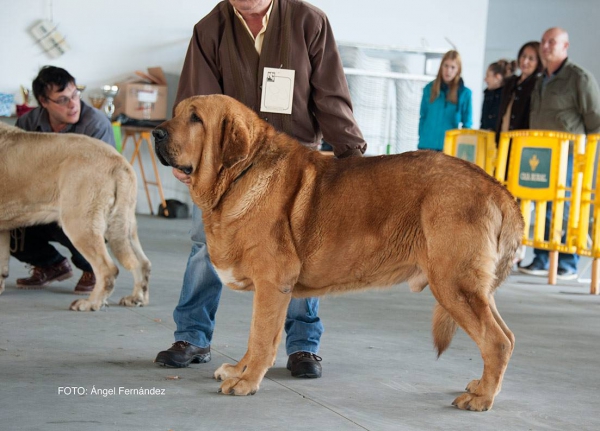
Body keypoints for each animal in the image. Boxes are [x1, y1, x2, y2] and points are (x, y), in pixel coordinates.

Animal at [0, 123, 150, 312]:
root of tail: (118, 160)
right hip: (123, 225)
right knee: (142, 263)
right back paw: (136, 298)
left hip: (79, 225)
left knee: (108, 269)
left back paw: (91, 303)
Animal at [155, 94, 524, 412]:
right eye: (177, 112)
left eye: (195, 118)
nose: (156, 132)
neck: (237, 175)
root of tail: (496, 187)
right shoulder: (269, 290)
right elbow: (255, 335)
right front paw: (238, 370)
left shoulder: (273, 283)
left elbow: (260, 337)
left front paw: (246, 381)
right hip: (472, 289)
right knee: (506, 336)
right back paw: (482, 387)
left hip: (453, 283)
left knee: (496, 342)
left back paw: (481, 399)